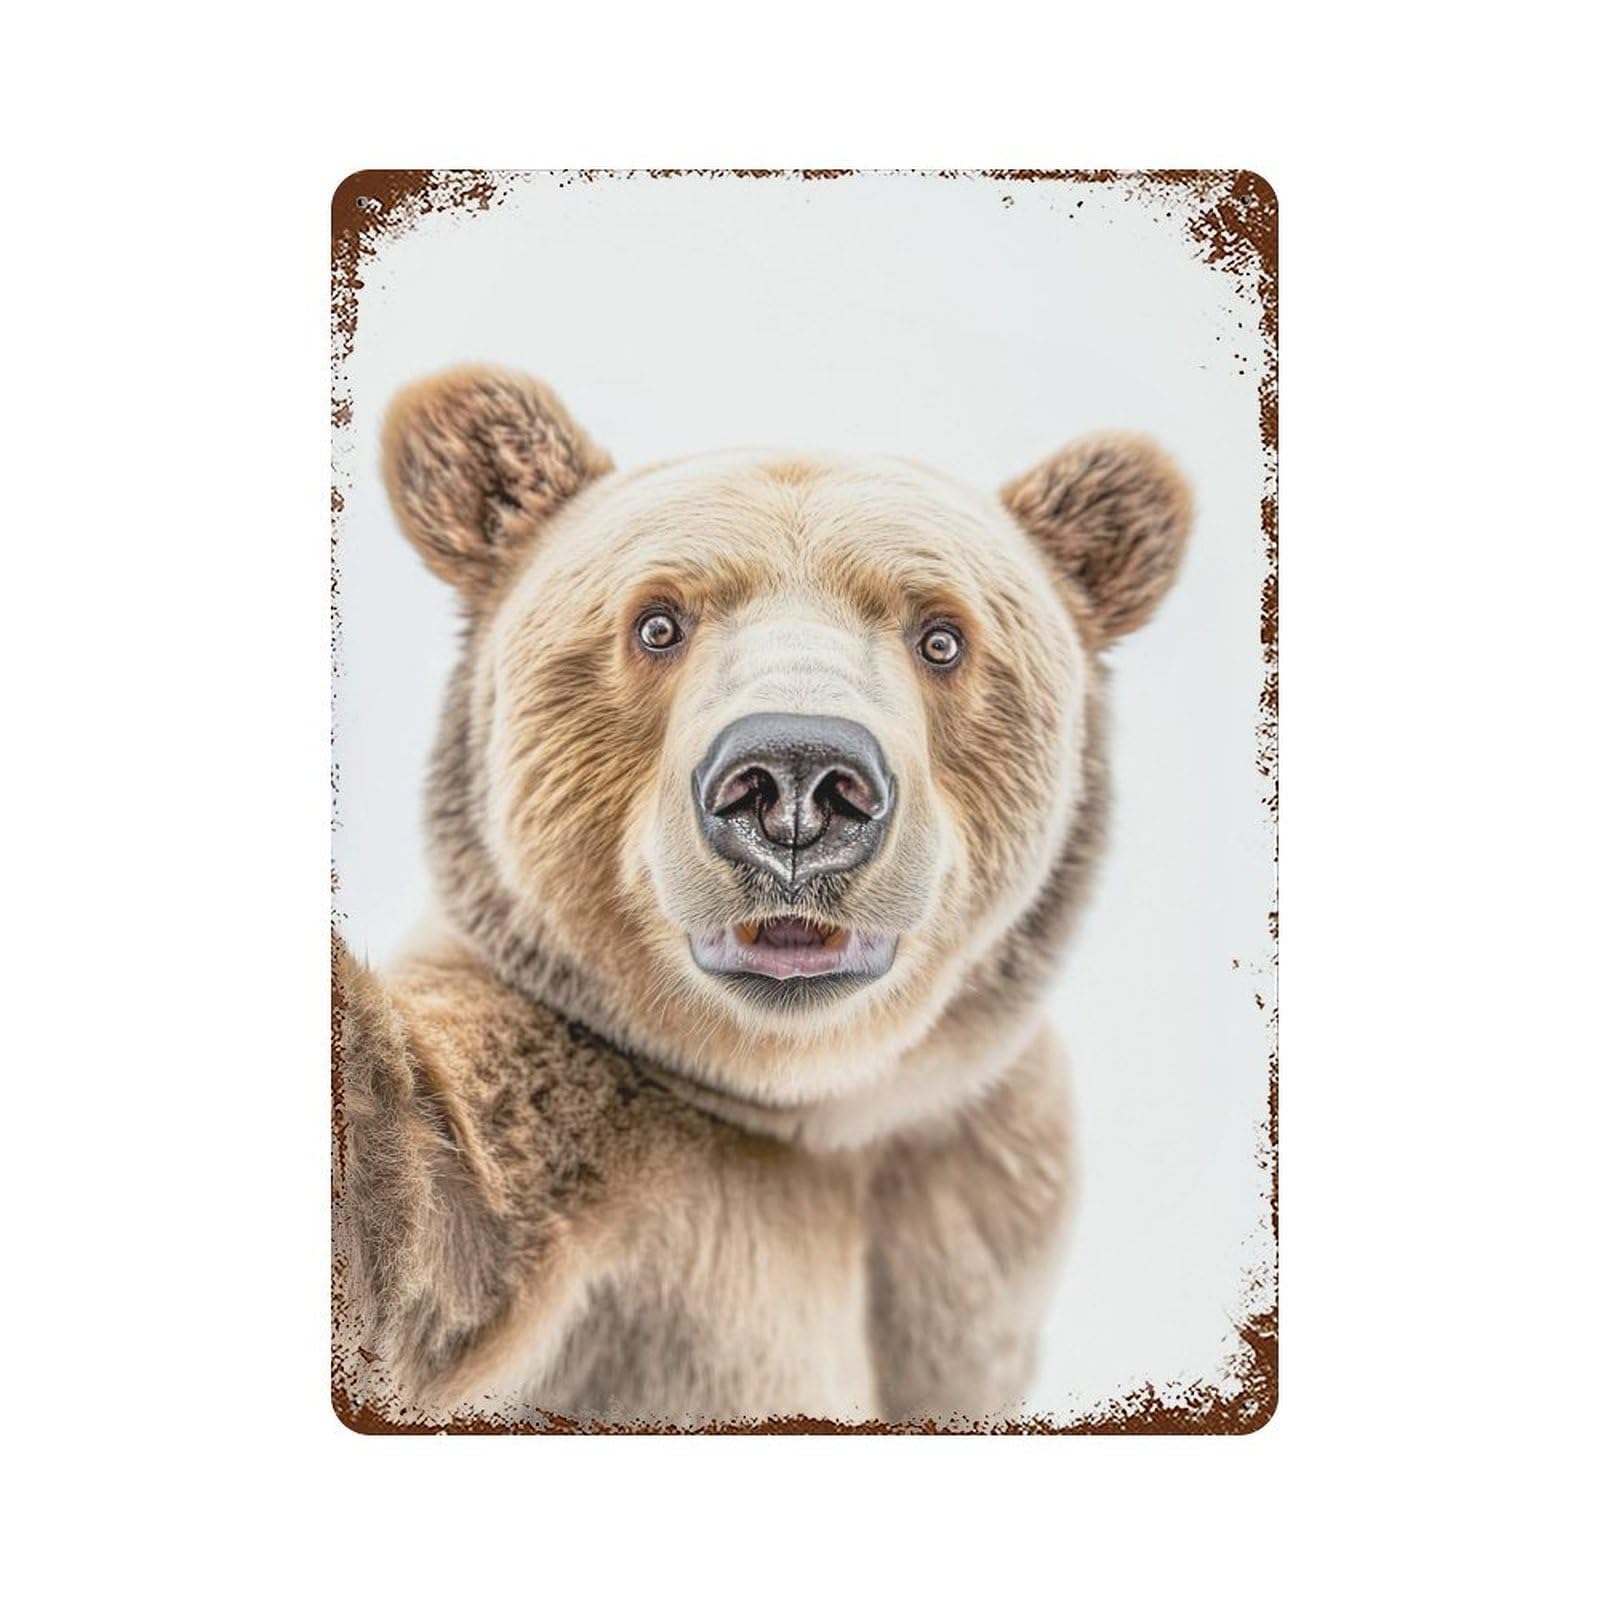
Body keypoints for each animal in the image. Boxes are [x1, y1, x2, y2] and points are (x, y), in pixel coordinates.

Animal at [333, 364, 1191, 1428]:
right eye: (657, 621)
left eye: (942, 637)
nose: (794, 783)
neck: (812, 1109)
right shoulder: (563, 1146)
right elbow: (422, 1196)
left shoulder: (979, 1191)